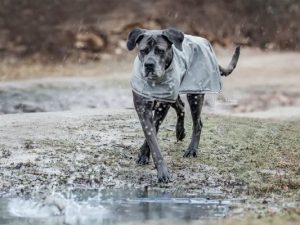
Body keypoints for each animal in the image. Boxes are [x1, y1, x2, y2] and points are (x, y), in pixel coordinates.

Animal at [126, 28, 239, 183]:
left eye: (160, 51)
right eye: (143, 50)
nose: (149, 65)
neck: (154, 83)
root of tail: (204, 42)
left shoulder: (161, 108)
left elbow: (154, 135)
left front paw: (160, 170)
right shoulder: (143, 108)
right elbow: (151, 137)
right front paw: (145, 156)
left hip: (195, 95)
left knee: (198, 124)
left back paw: (192, 149)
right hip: (175, 95)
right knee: (181, 106)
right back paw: (180, 131)